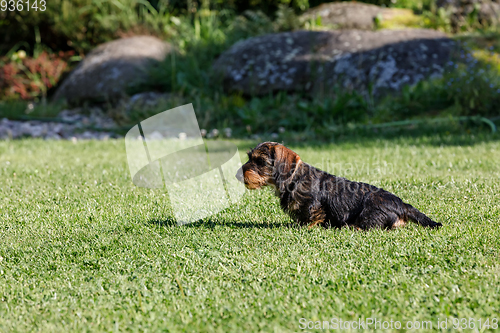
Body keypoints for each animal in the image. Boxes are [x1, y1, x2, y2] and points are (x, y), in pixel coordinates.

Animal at [236, 141, 444, 230]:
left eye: (260, 161)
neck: (295, 178)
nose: (238, 174)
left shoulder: (313, 206)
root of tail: (402, 204)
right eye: (249, 157)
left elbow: (313, 217)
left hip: (370, 213)